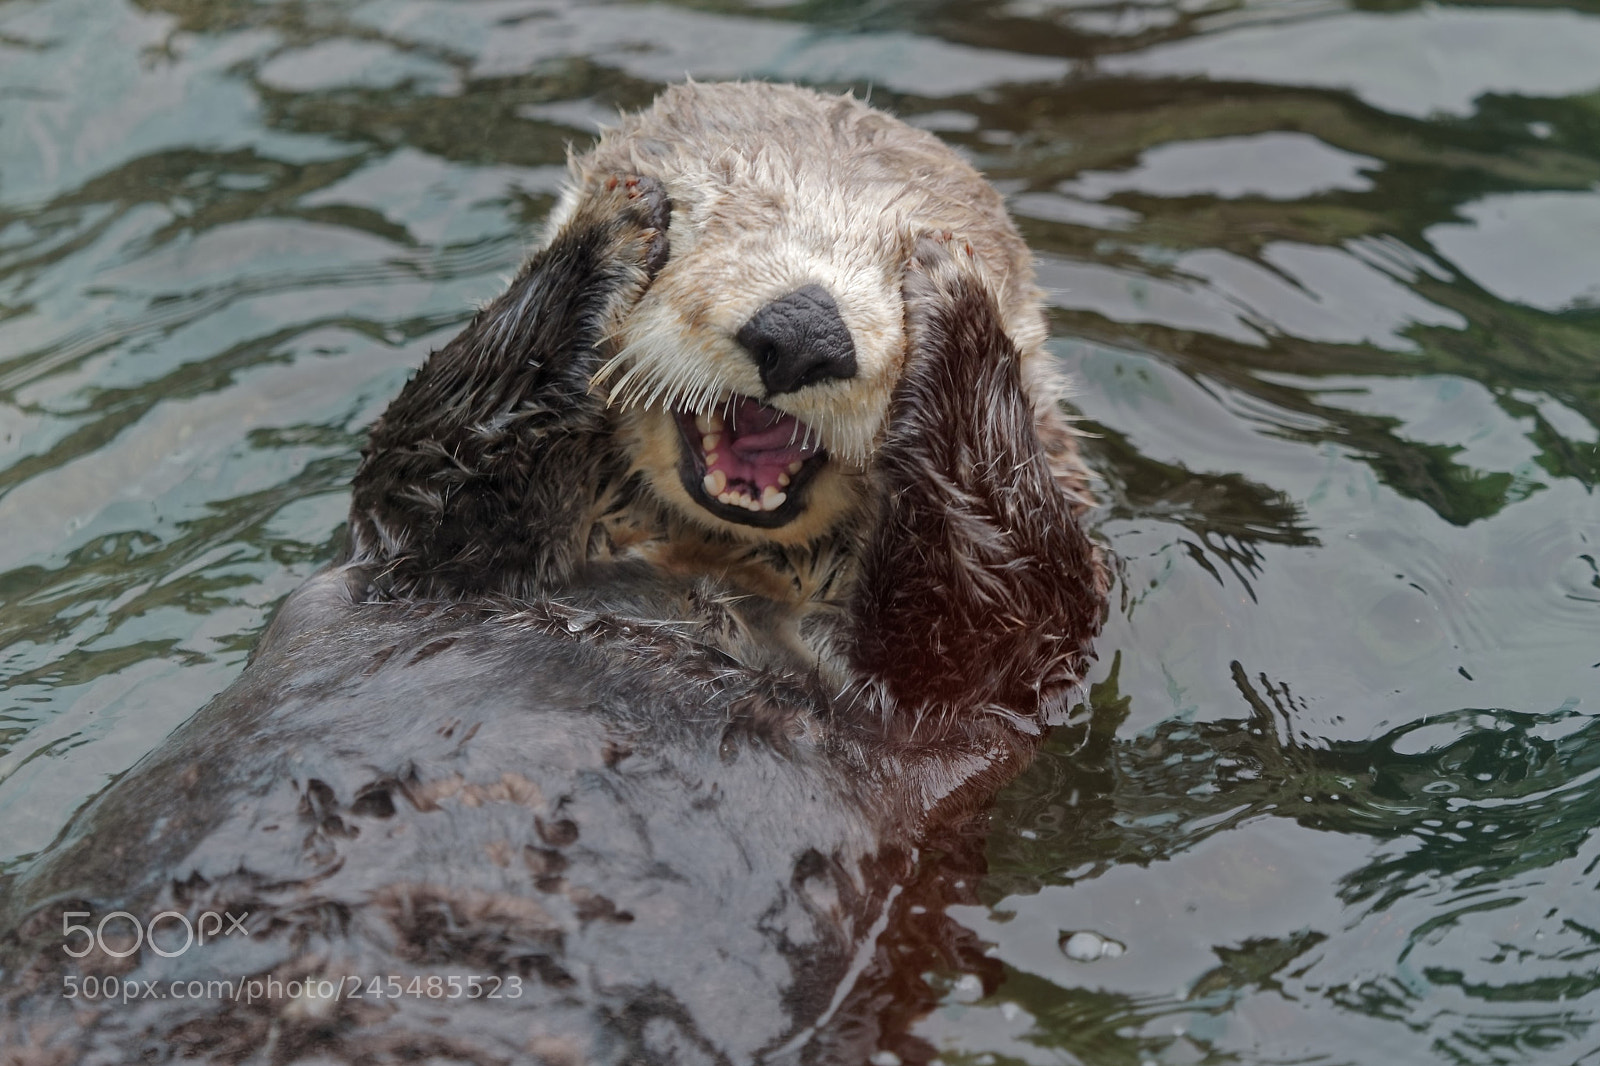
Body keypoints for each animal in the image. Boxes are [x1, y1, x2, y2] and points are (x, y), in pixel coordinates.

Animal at [0, 83, 1105, 1065]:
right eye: (724, 210)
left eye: (891, 255)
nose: (803, 330)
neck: (697, 578)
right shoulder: (412, 548)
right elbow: (435, 447)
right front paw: (612, 227)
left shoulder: (1000, 681)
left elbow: (1000, 587)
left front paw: (957, 304)